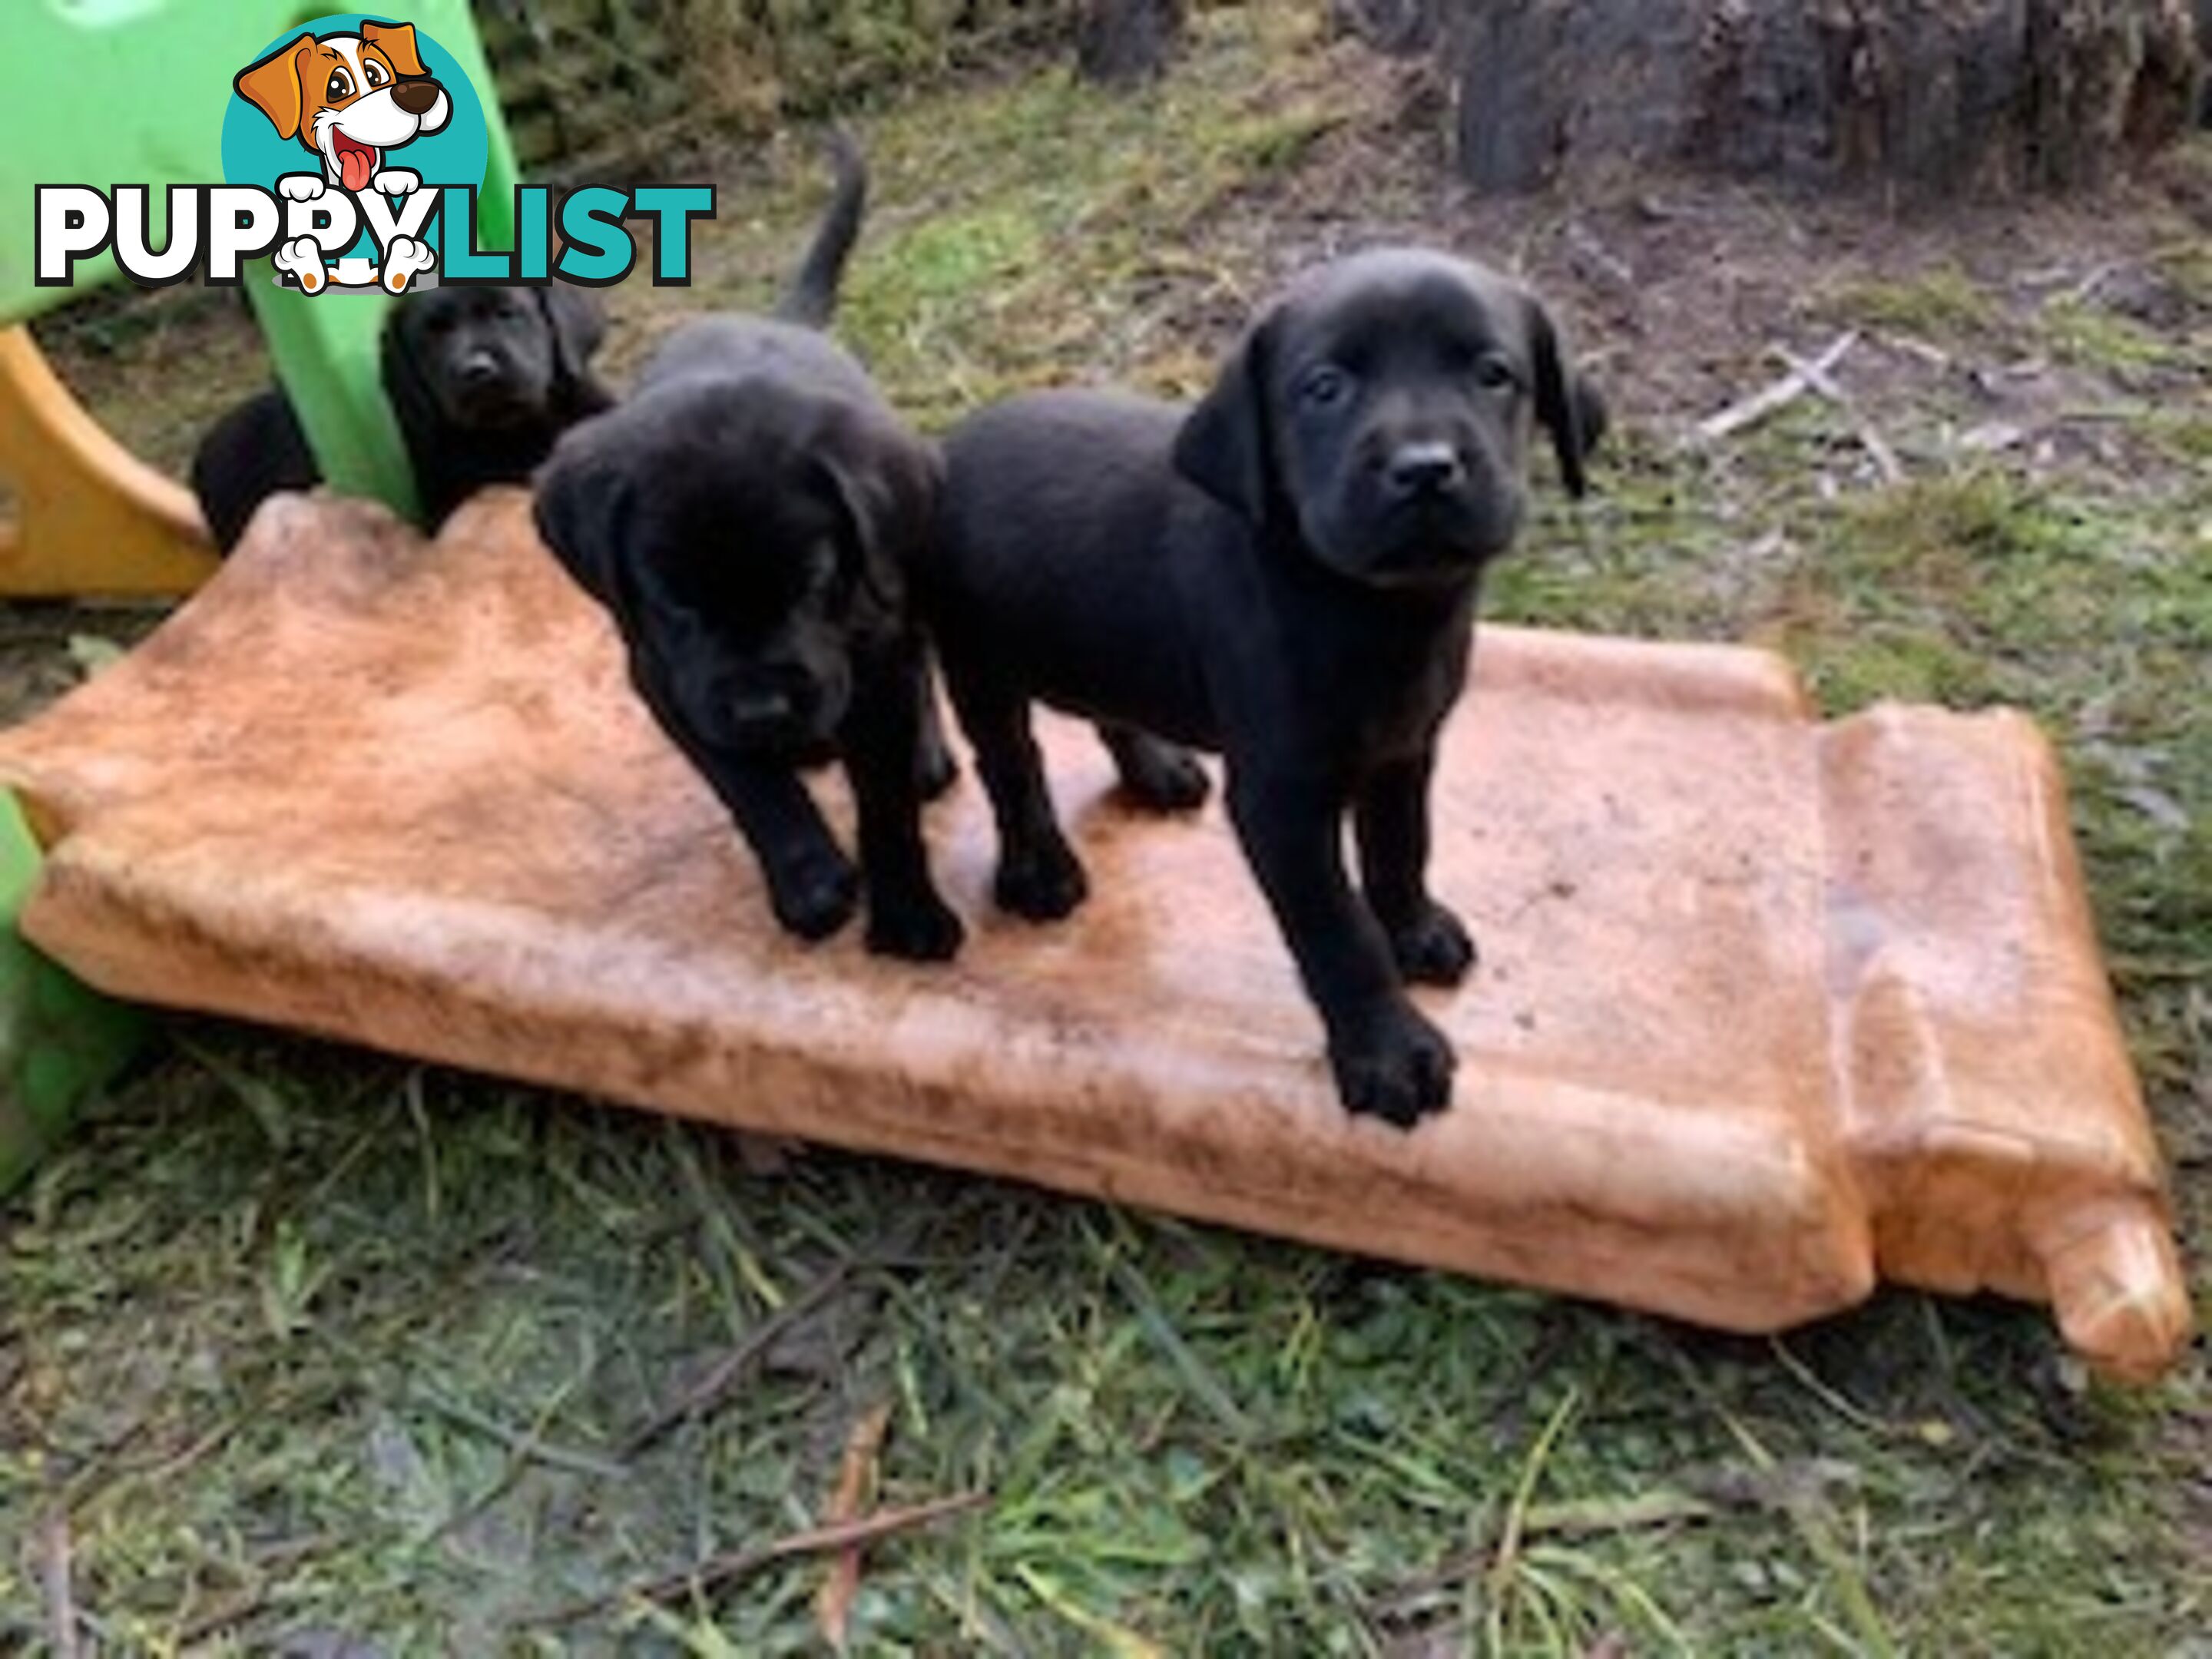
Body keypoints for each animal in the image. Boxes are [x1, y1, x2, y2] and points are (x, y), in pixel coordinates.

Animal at [531, 138, 964, 969]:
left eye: (814, 582)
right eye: (673, 600)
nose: (765, 709)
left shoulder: (873, 646)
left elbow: (885, 797)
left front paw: (906, 911)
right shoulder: (667, 676)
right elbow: (750, 785)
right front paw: (810, 879)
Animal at [924, 247, 1601, 1132]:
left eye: (1494, 374)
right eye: (1324, 387)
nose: (1424, 469)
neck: (1373, 609)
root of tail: (944, 444)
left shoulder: (1404, 750)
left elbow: (1400, 849)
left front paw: (1414, 929)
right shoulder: (1282, 802)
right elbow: (1336, 930)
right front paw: (1389, 1051)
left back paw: (1155, 768)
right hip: (981, 662)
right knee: (1011, 767)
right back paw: (1038, 869)